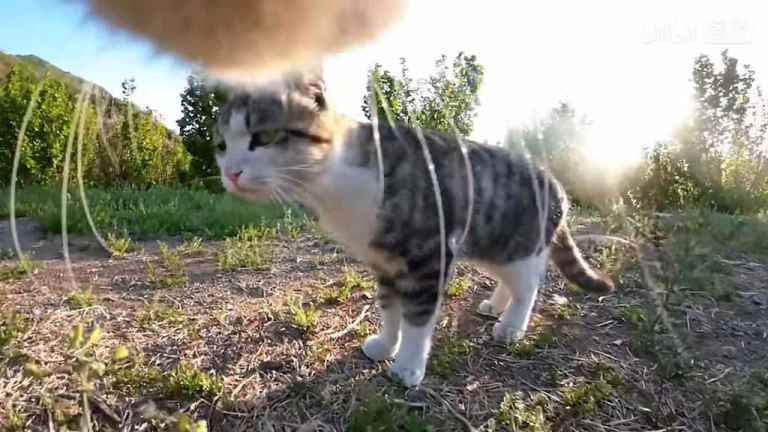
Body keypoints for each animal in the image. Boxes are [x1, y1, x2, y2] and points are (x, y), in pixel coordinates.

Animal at [213, 71, 616, 388]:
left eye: (264, 137)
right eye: (221, 145)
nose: (230, 172)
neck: (335, 180)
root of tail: (558, 185)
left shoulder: (430, 254)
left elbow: (418, 317)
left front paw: (408, 366)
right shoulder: (385, 261)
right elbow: (390, 309)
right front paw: (385, 345)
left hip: (516, 243)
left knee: (529, 284)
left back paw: (511, 326)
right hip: (490, 244)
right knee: (511, 280)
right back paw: (496, 305)